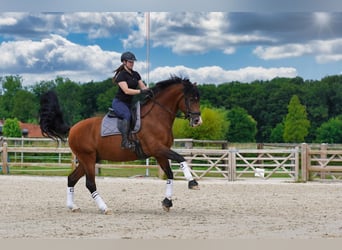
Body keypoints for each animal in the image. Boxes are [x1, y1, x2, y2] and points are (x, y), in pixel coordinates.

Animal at [38, 75, 203, 214]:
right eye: (191, 99)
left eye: (198, 98)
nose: (197, 121)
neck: (157, 117)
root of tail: (73, 128)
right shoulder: (158, 149)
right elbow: (181, 158)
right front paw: (193, 182)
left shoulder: (160, 153)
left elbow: (169, 174)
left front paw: (167, 202)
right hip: (87, 158)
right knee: (90, 183)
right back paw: (104, 208)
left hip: (89, 160)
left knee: (72, 179)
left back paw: (73, 206)